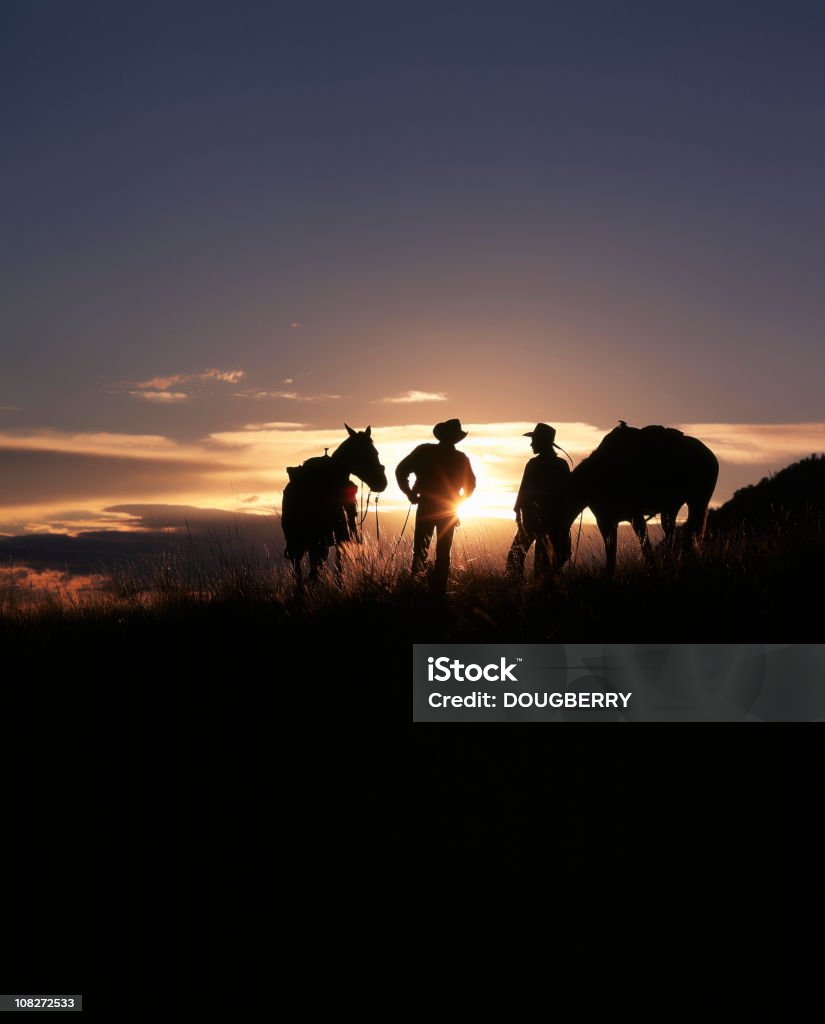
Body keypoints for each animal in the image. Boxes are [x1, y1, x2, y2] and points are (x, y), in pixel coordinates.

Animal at [282, 421, 388, 581]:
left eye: (375, 452)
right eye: (369, 453)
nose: (382, 483)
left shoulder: (336, 540)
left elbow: (337, 568)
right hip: (302, 542)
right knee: (303, 571)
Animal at [569, 417, 716, 573]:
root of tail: (710, 455)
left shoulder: (635, 517)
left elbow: (646, 549)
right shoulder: (606, 522)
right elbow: (611, 559)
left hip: (697, 503)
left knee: (689, 535)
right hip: (672, 508)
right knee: (672, 533)